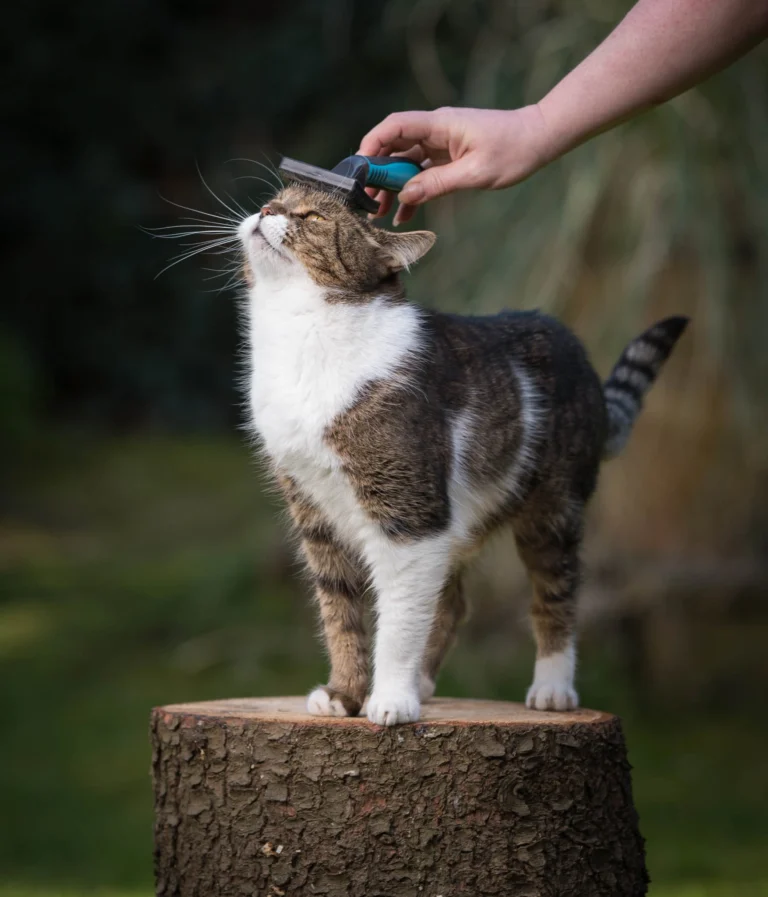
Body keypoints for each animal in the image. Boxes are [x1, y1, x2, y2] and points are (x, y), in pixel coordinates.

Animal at [237, 180, 688, 720]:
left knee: (553, 594)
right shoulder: (316, 512)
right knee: (452, 603)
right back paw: (424, 682)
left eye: (313, 218)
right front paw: (344, 694)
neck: (302, 331)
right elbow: (340, 612)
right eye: (277, 199)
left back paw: (552, 688)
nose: (267, 210)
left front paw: (390, 700)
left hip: (551, 513)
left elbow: (398, 620)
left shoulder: (410, 515)